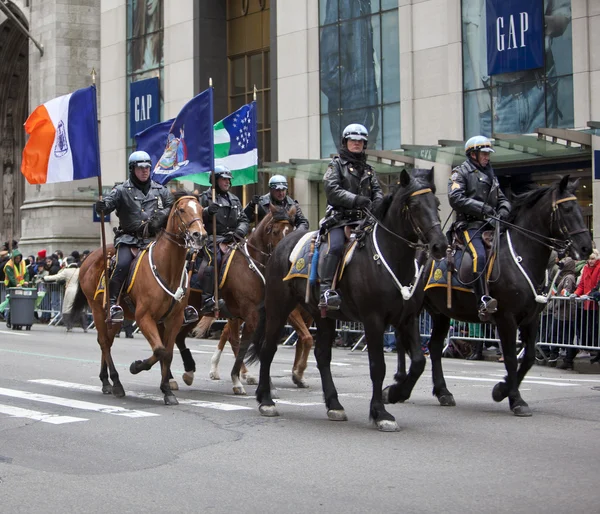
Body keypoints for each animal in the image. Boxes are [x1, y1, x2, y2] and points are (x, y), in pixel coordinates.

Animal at [72, 193, 206, 404]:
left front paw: (167, 390)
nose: (199, 235)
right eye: (182, 210)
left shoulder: (174, 319)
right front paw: (136, 367)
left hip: (116, 318)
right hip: (97, 309)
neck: (167, 268)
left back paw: (106, 381)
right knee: (104, 342)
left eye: (201, 210)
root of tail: (89, 258)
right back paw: (116, 383)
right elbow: (159, 350)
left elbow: (167, 353)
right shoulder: (144, 318)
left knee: (108, 341)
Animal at [172, 203, 314, 392]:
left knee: (183, 336)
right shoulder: (257, 314)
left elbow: (299, 341)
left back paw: (191, 373)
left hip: (197, 312)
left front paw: (294, 376)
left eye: (291, 230)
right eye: (275, 231)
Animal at [246, 168, 448, 428]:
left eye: (437, 203)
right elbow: (377, 366)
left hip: (322, 315)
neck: (389, 258)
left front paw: (395, 393)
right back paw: (266, 400)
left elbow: (418, 362)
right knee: (268, 348)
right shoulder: (373, 320)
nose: (440, 245)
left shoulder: (407, 318)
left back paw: (334, 404)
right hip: (279, 307)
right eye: (413, 205)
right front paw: (380, 412)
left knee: (322, 355)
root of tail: (281, 246)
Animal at [386, 174, 592, 414]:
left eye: (579, 208)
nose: (587, 247)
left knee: (435, 348)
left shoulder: (531, 318)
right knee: (403, 341)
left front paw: (502, 390)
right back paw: (399, 383)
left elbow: (529, 358)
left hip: (440, 313)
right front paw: (514, 398)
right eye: (567, 208)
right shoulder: (506, 318)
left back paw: (442, 392)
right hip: (414, 308)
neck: (520, 255)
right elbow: (511, 358)